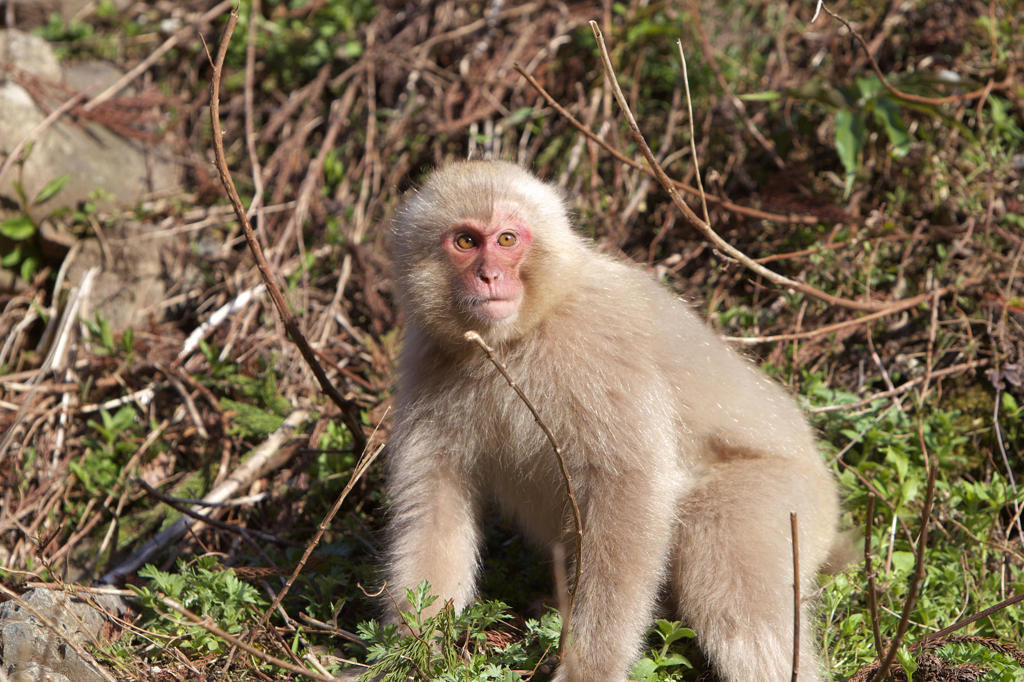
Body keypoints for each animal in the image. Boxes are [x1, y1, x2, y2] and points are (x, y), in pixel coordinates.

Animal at [385, 160, 839, 679]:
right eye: (465, 241)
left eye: (505, 239)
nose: (489, 274)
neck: (518, 337)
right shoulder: (428, 364)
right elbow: (434, 504)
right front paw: (412, 655)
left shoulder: (598, 348)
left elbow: (630, 494)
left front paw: (590, 667)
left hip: (789, 502)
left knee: (723, 563)